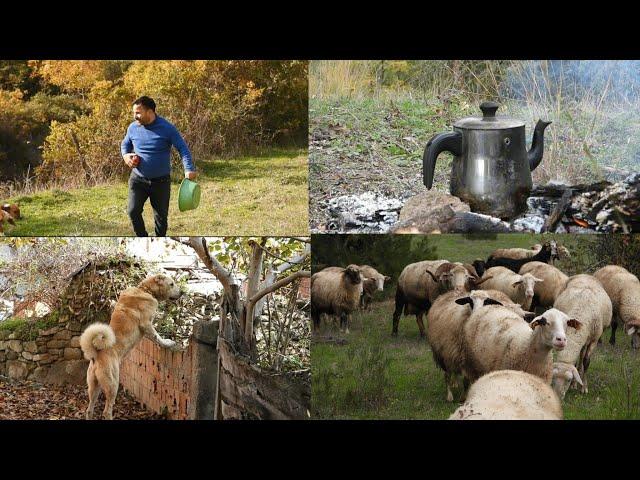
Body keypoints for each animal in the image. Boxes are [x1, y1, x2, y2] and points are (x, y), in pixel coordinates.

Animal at [79, 274, 182, 420]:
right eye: (171, 284)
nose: (182, 292)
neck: (145, 290)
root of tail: (96, 354)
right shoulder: (146, 324)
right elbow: (157, 337)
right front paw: (167, 343)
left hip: (94, 387)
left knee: (89, 409)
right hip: (113, 385)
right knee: (107, 411)